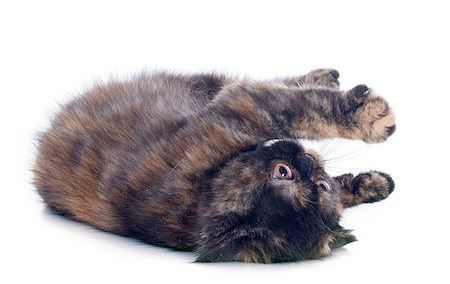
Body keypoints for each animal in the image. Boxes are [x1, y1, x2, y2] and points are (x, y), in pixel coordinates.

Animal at [33, 68, 396, 262]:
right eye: (283, 171)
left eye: (320, 186)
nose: (306, 159)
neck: (201, 202)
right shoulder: (236, 109)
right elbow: (301, 110)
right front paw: (370, 120)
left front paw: (371, 184)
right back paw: (328, 76)